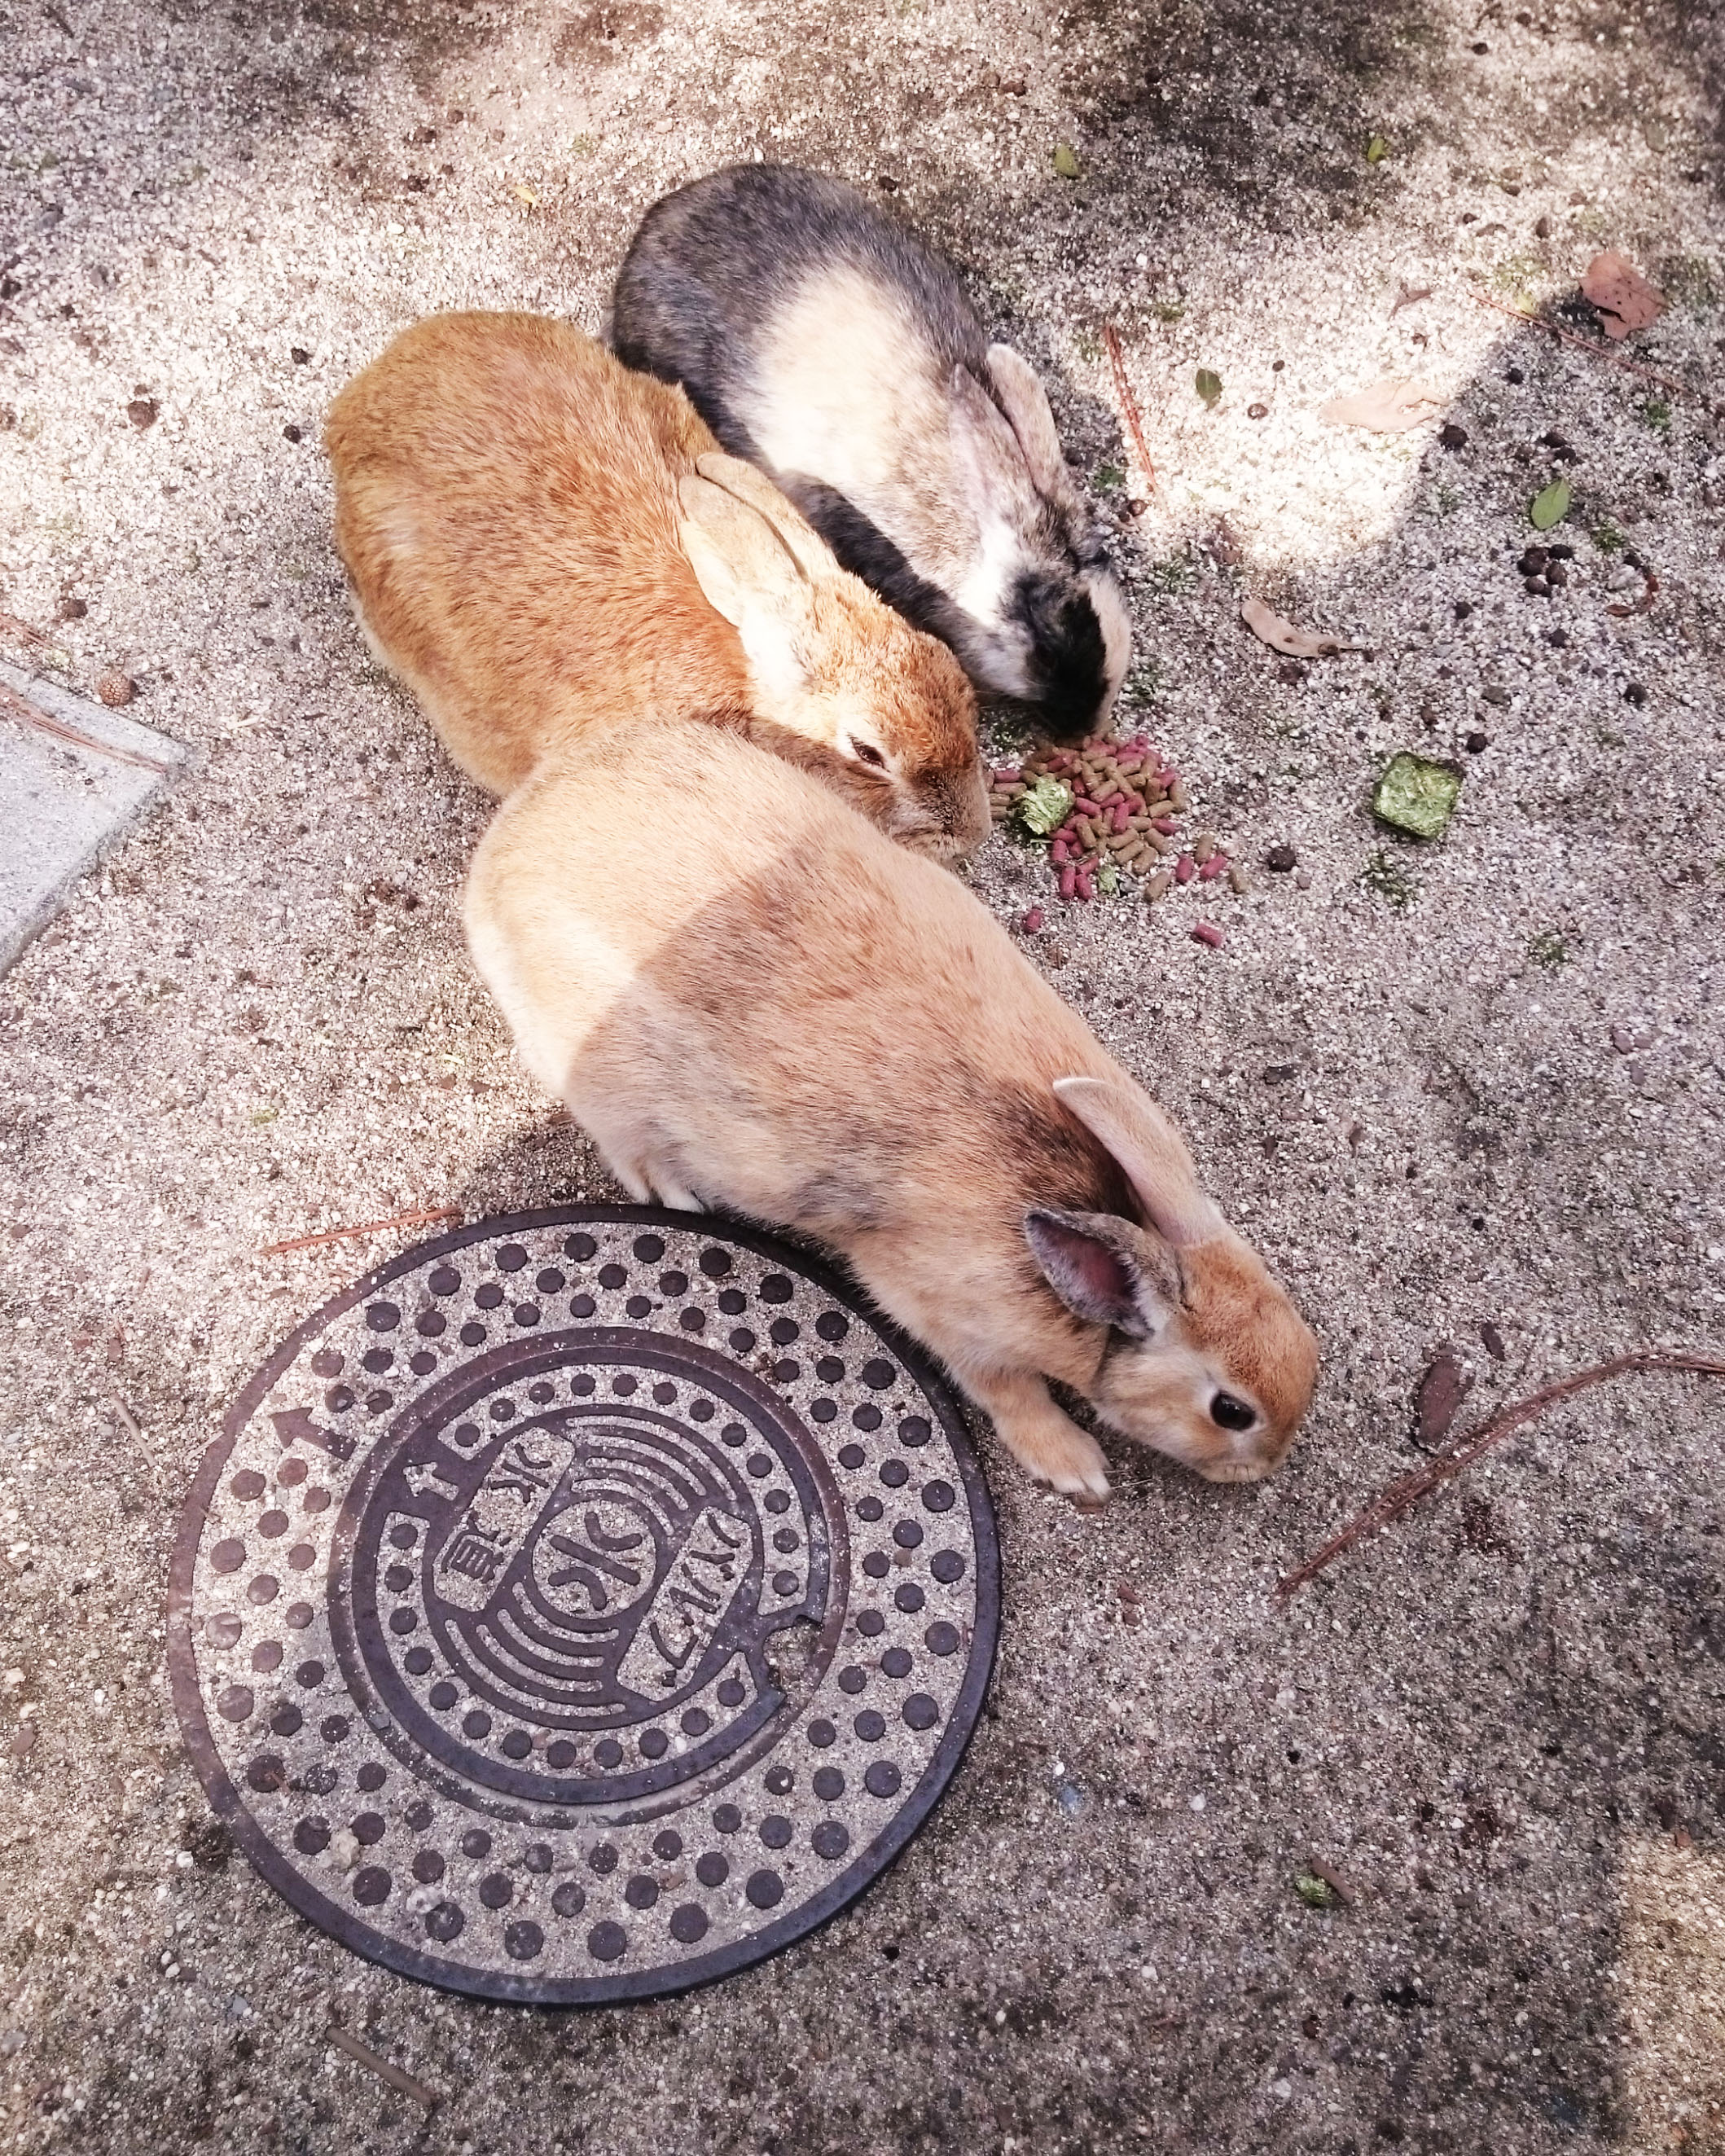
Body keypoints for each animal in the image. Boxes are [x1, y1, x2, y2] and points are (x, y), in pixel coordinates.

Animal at [465, 713, 1319, 1502]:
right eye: (1231, 1410)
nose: (1268, 1468)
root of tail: (501, 854)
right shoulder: (944, 1314)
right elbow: (1009, 1393)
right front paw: (1078, 1468)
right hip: (598, 1075)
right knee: (629, 1146)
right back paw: (682, 1193)